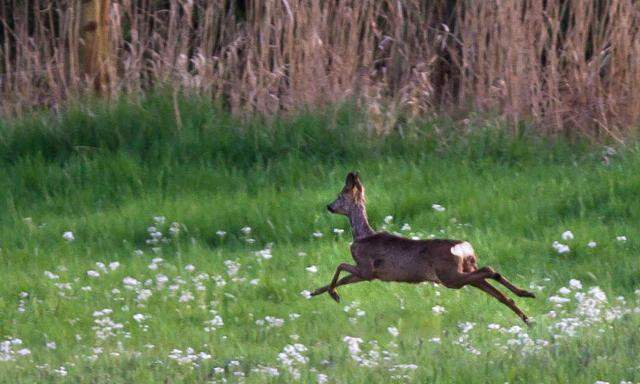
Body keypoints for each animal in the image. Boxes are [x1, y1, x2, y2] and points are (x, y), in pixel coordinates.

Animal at [310, 172, 536, 324]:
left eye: (340, 195)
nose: (329, 206)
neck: (362, 235)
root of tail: (463, 248)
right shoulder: (369, 274)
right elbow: (343, 278)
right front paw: (315, 292)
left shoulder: (366, 268)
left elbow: (340, 265)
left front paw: (333, 294)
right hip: (464, 270)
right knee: (497, 290)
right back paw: (526, 308)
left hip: (449, 276)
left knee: (489, 271)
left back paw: (524, 303)